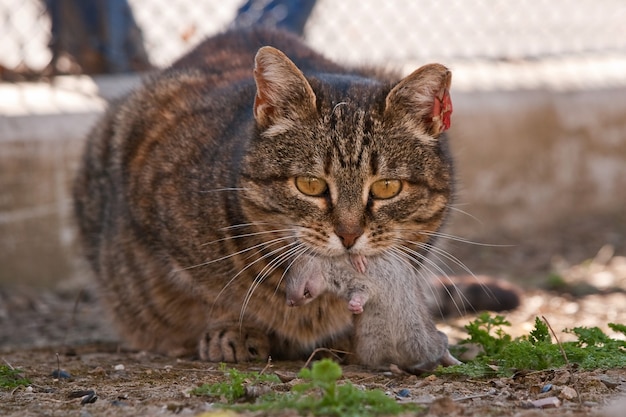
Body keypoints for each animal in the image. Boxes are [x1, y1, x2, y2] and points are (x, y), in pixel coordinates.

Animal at [73, 27, 516, 368]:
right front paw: (232, 328)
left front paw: (345, 334)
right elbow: (208, 293)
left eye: (387, 187)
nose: (349, 235)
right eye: (310, 185)